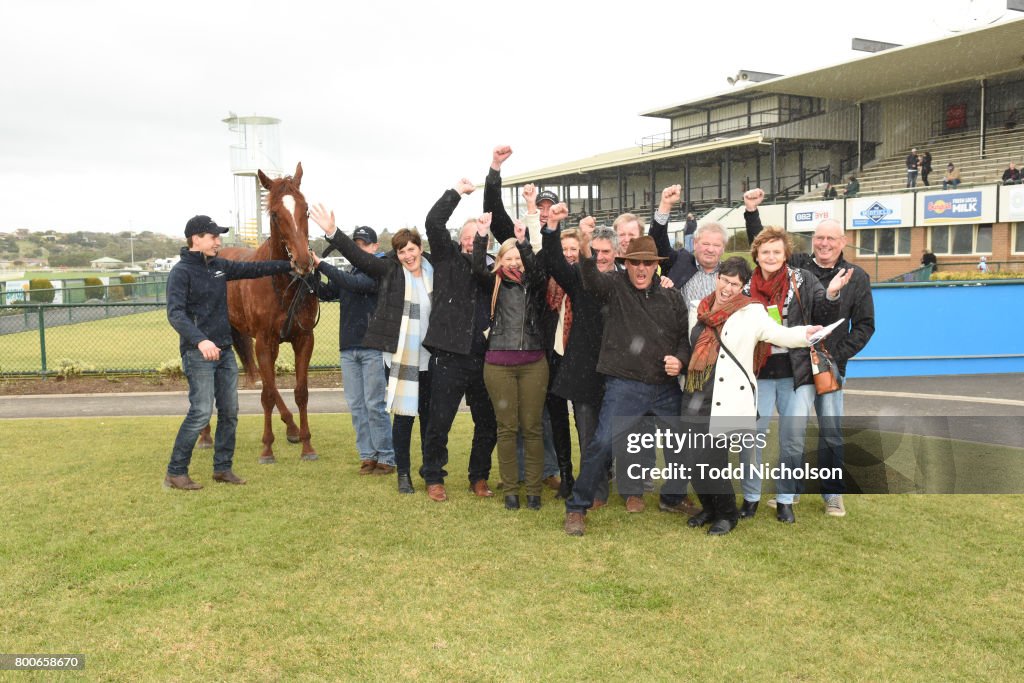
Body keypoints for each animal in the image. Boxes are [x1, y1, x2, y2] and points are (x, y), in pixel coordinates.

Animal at [210, 163, 315, 464]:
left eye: (305, 209)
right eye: (276, 214)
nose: (304, 261)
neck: (282, 285)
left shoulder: (303, 339)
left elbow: (300, 391)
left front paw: (306, 444)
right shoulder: (263, 342)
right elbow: (267, 395)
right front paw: (267, 448)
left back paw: (292, 428)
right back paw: (204, 437)